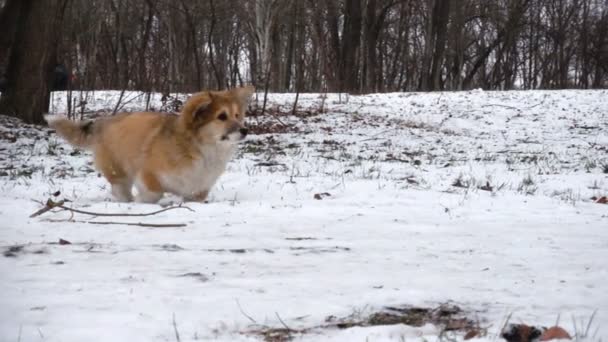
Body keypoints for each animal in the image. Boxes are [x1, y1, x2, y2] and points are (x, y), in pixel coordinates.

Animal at [45, 86, 254, 203]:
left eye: (237, 115)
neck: (203, 150)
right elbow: (155, 193)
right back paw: (128, 201)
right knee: (120, 188)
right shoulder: (147, 174)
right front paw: (141, 201)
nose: (245, 130)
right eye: (222, 116)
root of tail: (102, 123)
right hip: (119, 172)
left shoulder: (198, 190)